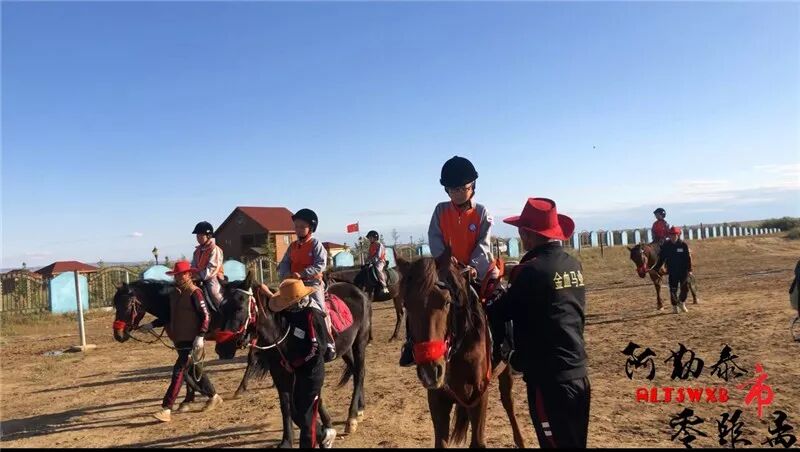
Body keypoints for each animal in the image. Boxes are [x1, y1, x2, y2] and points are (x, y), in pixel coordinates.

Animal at [215, 272, 371, 447]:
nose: (222, 348)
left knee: (359, 374)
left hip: (360, 341)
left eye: (240, 308)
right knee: (357, 371)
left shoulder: (308, 368)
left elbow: (306, 404)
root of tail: (358, 290)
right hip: (345, 348)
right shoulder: (280, 373)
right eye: (220, 308)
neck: (285, 331)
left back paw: (352, 418)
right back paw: (360, 409)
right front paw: (289, 440)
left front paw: (324, 430)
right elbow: (287, 406)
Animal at [396, 249, 525, 448]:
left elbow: (478, 442)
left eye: (446, 302)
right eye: (406, 304)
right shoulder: (437, 397)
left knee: (508, 402)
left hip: (505, 370)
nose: (430, 371)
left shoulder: (479, 395)